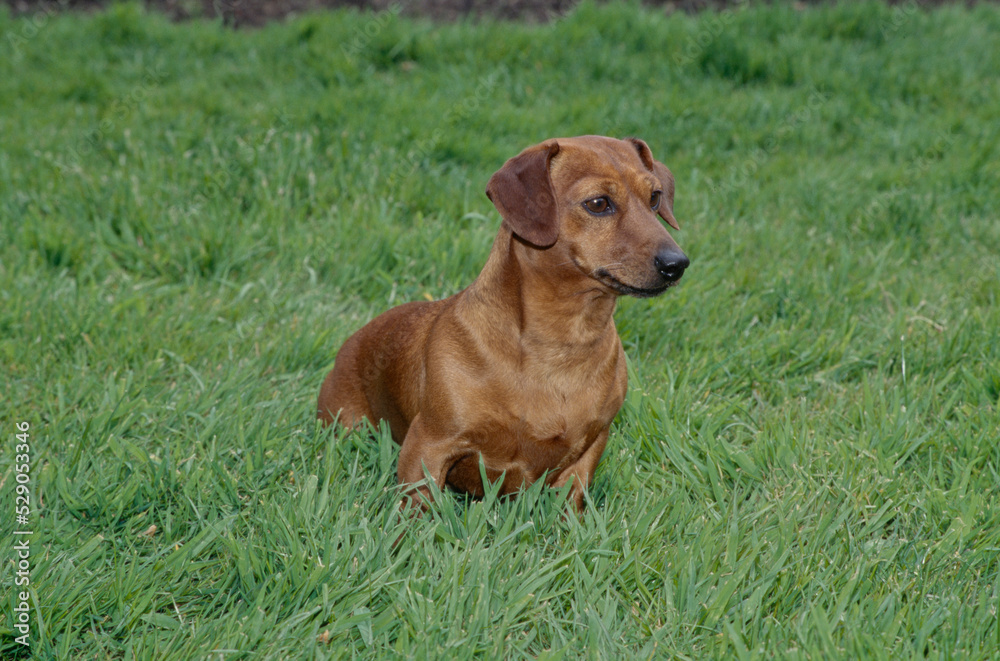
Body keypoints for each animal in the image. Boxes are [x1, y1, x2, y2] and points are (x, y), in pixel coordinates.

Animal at [320, 134, 688, 510]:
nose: (677, 264)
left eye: (655, 197)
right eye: (598, 203)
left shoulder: (589, 450)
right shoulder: (428, 446)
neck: (562, 345)